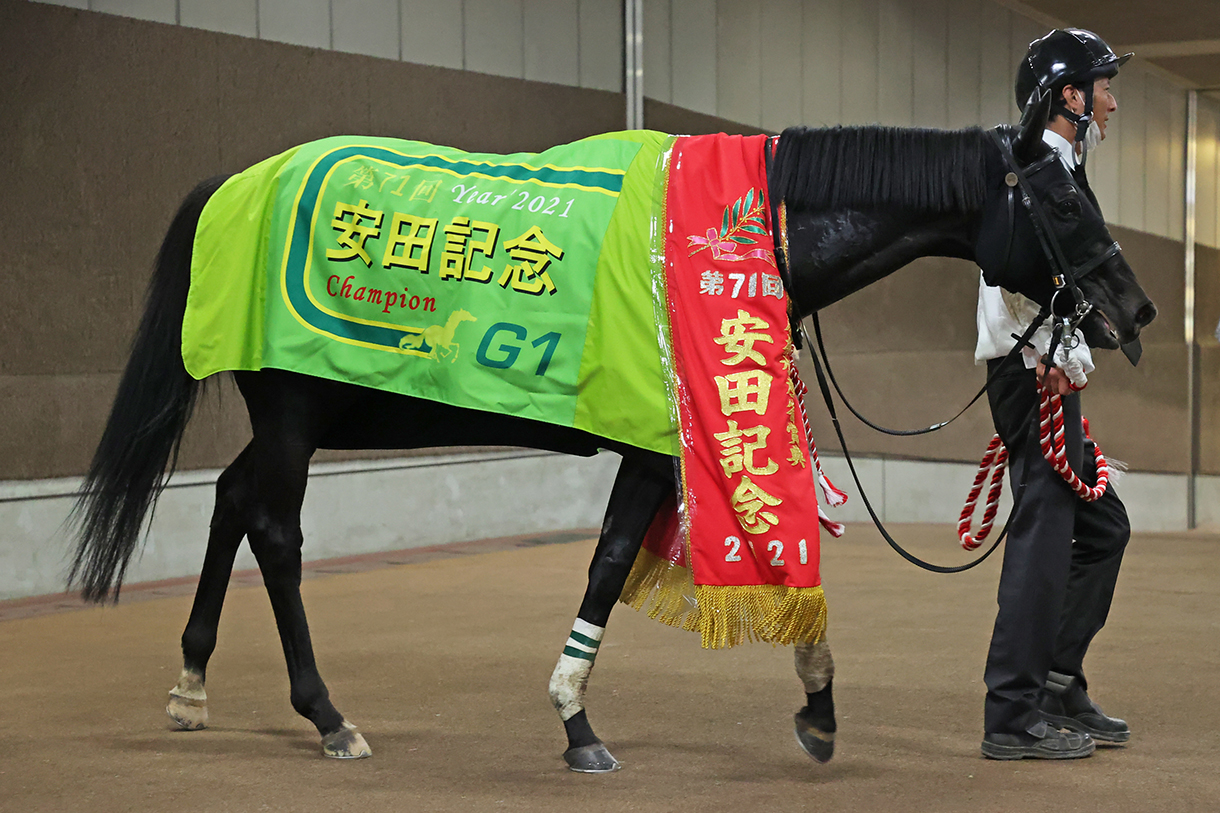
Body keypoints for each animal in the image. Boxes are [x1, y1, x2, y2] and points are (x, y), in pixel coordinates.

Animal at [69, 91, 1156, 771]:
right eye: (1064, 201)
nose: (1132, 309)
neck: (718, 240)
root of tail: (232, 189)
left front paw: (810, 708)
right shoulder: (656, 444)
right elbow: (613, 564)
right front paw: (580, 722)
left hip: (308, 408)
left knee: (230, 500)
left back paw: (192, 686)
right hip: (294, 409)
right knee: (278, 533)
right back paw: (329, 716)